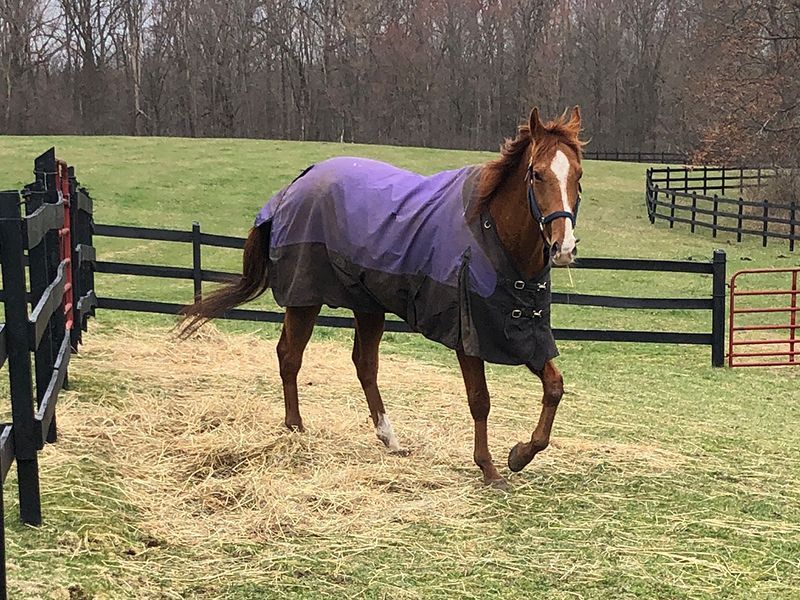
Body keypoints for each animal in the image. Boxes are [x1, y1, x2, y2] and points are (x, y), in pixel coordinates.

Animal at [181, 106, 585, 488]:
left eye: (578, 176)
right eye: (537, 174)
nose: (563, 248)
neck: (493, 233)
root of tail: (295, 185)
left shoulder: (520, 333)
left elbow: (554, 387)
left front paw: (520, 454)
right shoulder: (467, 337)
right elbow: (480, 401)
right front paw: (489, 469)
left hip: (367, 304)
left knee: (364, 365)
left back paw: (389, 438)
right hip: (304, 298)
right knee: (290, 356)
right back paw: (295, 428)